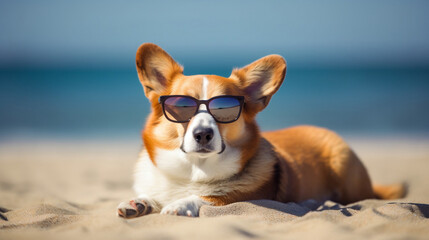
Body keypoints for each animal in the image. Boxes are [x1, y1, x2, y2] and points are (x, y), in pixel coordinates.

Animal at [116, 42, 402, 218]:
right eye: (181, 106)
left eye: (225, 108)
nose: (203, 135)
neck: (192, 172)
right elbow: (152, 195)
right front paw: (139, 203)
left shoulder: (241, 196)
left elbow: (211, 197)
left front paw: (180, 204)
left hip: (345, 168)